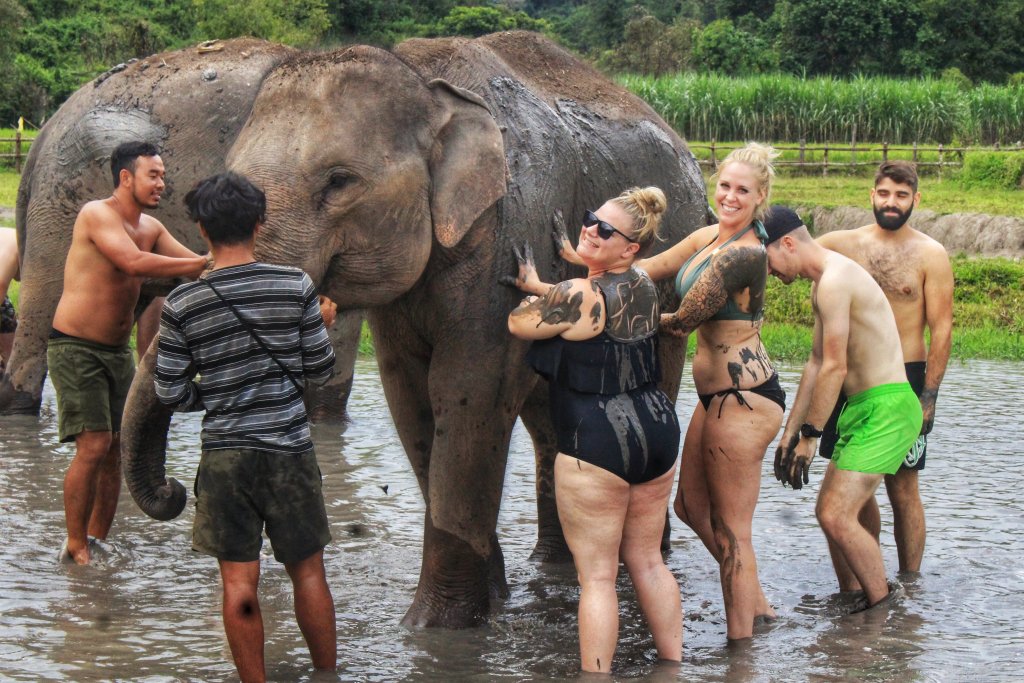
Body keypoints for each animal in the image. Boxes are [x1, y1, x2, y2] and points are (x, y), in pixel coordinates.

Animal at [119, 31, 708, 630]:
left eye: (339, 181)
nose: (173, 492)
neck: (427, 84)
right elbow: (410, 396)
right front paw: (488, 601)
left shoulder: (510, 227)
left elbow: (468, 393)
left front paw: (434, 629)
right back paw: (553, 566)